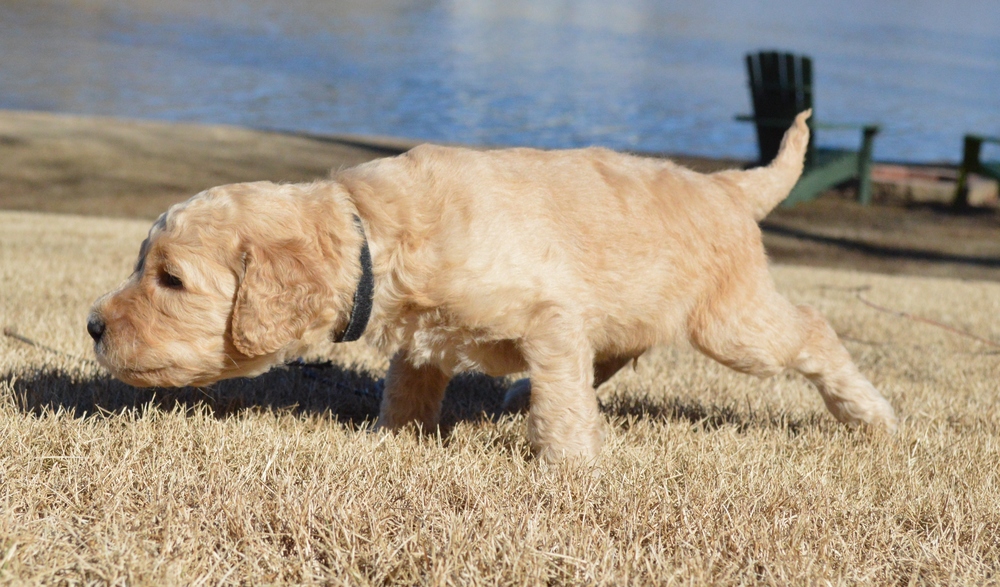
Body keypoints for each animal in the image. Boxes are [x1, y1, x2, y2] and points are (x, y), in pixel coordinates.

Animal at [88, 113, 900, 464]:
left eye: (170, 279)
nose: (93, 324)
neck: (377, 230)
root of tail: (729, 186)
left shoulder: (548, 312)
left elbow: (564, 411)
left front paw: (571, 469)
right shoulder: (426, 341)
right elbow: (408, 391)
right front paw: (394, 443)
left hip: (732, 324)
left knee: (813, 331)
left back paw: (871, 417)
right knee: (609, 352)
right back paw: (517, 394)